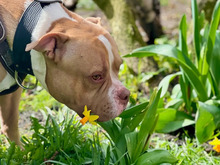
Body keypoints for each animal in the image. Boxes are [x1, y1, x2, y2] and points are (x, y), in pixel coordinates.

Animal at [0, 0, 130, 145]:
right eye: (96, 76)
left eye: (118, 67)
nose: (126, 94)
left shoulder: (12, 92)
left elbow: (10, 123)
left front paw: (19, 150)